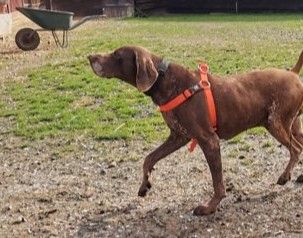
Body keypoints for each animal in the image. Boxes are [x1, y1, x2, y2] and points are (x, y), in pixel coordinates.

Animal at [88, 46, 303, 216]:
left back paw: (285, 176)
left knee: (296, 149)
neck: (163, 80)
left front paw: (210, 207)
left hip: (275, 123)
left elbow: (218, 184)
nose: (90, 56)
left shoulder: (209, 140)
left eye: (116, 54)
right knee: (300, 146)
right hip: (291, 125)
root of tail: (293, 73)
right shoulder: (178, 136)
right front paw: (144, 185)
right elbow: (148, 159)